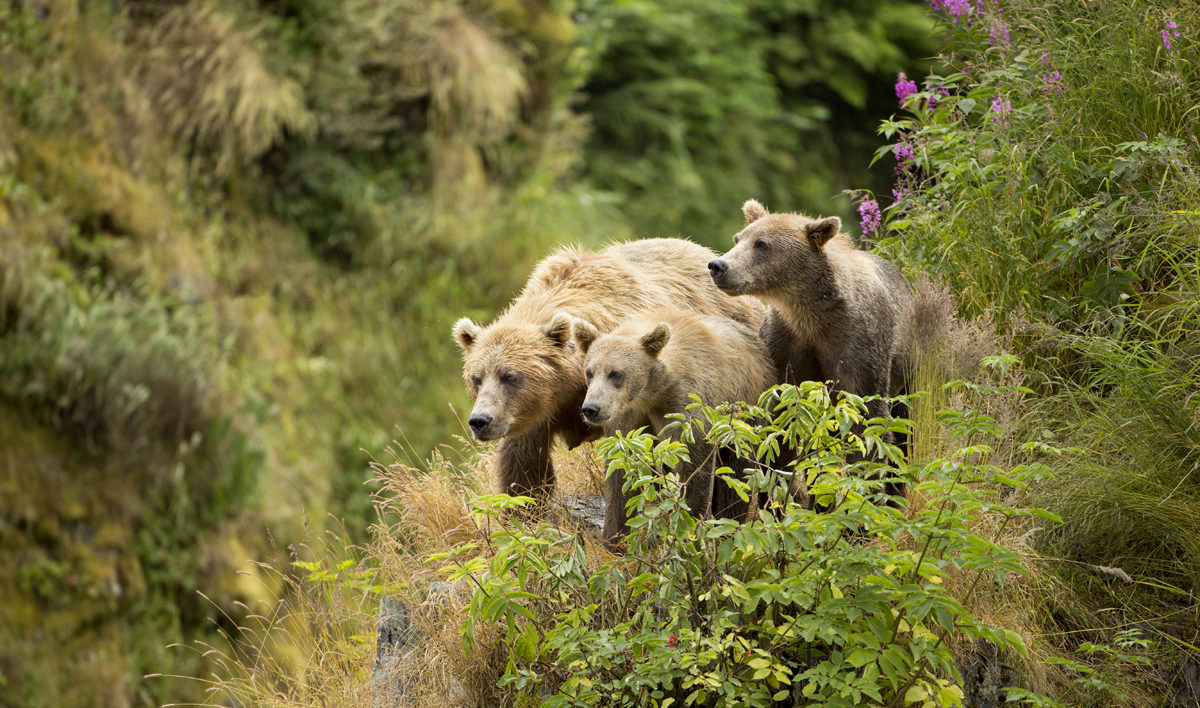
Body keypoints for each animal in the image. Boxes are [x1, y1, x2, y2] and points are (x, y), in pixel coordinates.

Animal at [573, 312, 777, 544]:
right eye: (590, 372)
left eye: (616, 373)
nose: (591, 408)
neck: (651, 393)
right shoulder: (627, 418)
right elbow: (620, 472)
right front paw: (613, 538)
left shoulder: (686, 408)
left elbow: (694, 467)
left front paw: (691, 529)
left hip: (745, 411)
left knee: (737, 472)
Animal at [705, 199, 912, 484]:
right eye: (738, 238)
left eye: (761, 244)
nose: (718, 266)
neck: (811, 313)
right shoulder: (785, 343)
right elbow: (778, 418)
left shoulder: (859, 342)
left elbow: (866, 420)